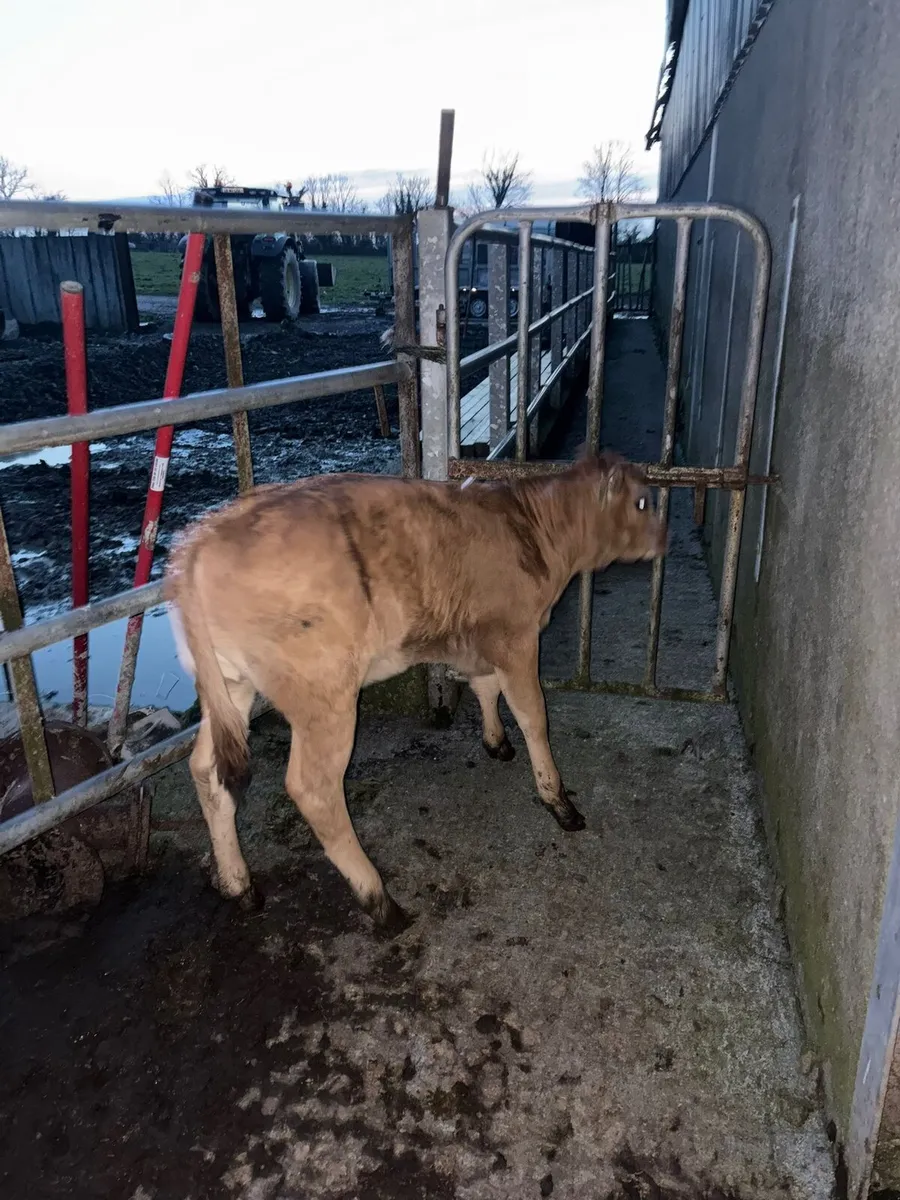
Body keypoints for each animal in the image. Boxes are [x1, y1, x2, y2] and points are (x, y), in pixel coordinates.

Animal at [164, 451, 667, 935]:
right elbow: (533, 716)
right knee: (315, 789)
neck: (534, 529)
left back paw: (239, 883)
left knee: (207, 770)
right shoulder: (516, 635)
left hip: (230, 688)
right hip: (324, 695)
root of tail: (203, 536)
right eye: (643, 502)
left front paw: (495, 741)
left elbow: (485, 686)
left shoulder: (478, 636)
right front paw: (558, 802)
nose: (665, 539)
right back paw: (380, 902)